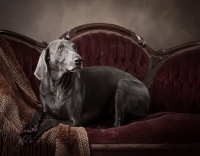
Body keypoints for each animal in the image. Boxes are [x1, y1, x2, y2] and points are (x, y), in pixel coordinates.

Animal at [20, 39, 149, 144]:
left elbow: (51, 122)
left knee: (118, 124)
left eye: (75, 47)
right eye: (60, 48)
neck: (57, 86)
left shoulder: (75, 121)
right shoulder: (48, 112)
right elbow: (38, 111)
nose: (79, 60)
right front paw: (30, 126)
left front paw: (32, 134)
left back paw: (102, 128)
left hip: (123, 84)